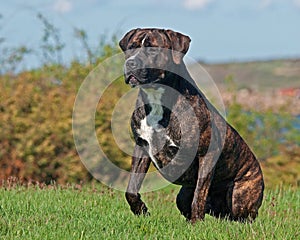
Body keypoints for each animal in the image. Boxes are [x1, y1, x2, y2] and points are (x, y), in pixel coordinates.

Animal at [118, 28, 264, 223]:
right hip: (183, 195)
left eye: (153, 49)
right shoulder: (141, 147)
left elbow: (199, 194)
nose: (131, 63)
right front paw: (141, 210)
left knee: (241, 216)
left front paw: (197, 223)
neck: (157, 99)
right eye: (131, 47)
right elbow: (131, 189)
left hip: (240, 197)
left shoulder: (207, 153)